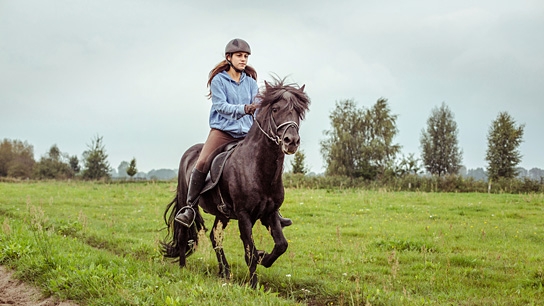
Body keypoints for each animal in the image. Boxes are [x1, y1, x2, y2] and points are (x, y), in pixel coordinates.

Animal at [162, 76, 310, 286]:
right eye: (275, 109)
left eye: (298, 112)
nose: (292, 141)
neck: (257, 169)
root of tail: (189, 152)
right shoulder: (243, 215)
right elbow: (250, 253)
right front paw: (254, 286)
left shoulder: (270, 212)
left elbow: (281, 245)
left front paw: (265, 257)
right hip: (186, 200)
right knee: (183, 232)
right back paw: (183, 268)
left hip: (222, 214)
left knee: (214, 237)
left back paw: (224, 271)